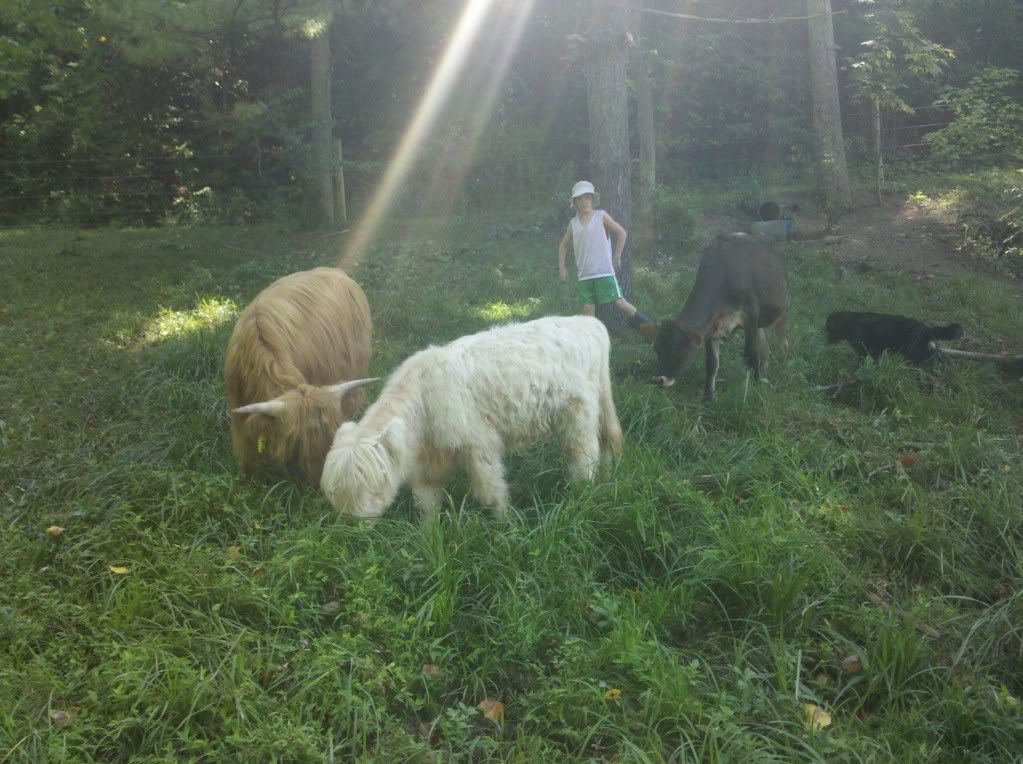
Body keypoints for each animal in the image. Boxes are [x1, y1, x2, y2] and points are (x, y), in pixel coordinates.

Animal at [320, 315, 623, 523]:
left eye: (372, 486)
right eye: (336, 491)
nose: (355, 523)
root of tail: (588, 322)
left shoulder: (480, 445)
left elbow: (491, 492)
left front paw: (508, 525)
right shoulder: (426, 465)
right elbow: (428, 505)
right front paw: (431, 539)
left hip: (579, 413)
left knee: (585, 455)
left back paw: (581, 494)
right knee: (607, 441)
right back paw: (607, 481)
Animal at [646, 233, 788, 400]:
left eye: (678, 352)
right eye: (657, 349)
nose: (658, 380)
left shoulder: (751, 314)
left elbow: (751, 355)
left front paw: (757, 385)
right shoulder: (712, 327)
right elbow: (712, 364)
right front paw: (709, 396)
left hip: (784, 306)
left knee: (781, 335)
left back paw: (782, 356)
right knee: (764, 343)